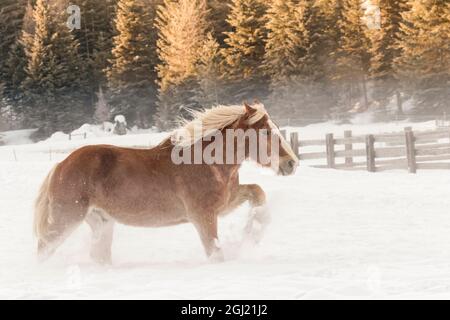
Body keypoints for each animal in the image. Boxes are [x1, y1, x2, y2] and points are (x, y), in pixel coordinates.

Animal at [32, 102, 298, 262]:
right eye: (265, 132)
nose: (291, 163)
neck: (206, 162)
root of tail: (60, 166)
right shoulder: (203, 216)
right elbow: (215, 252)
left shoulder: (225, 203)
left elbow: (257, 193)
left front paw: (253, 234)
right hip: (66, 220)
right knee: (44, 248)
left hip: (102, 222)